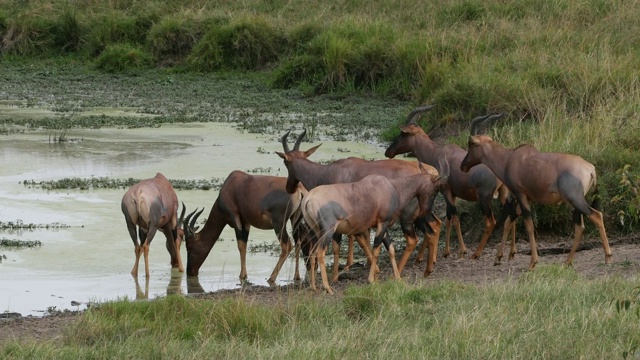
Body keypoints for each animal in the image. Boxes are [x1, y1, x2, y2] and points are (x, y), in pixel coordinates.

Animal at [278, 130, 442, 282]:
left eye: (286, 162)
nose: (289, 187)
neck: (330, 171)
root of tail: (430, 172)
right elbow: (361, 239)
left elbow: (340, 245)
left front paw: (336, 276)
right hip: (421, 214)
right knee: (433, 228)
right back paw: (428, 266)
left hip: (407, 217)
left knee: (414, 238)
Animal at [302, 163, 448, 296]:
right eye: (436, 190)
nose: (423, 213)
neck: (391, 187)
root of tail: (308, 198)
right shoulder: (382, 223)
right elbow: (376, 248)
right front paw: (371, 280)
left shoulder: (383, 225)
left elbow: (390, 249)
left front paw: (397, 278)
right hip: (328, 231)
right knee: (320, 252)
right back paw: (328, 288)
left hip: (316, 231)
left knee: (313, 252)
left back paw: (314, 287)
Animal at [384, 106, 516, 262]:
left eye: (403, 133)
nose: (388, 152)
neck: (438, 153)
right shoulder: (451, 193)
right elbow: (447, 219)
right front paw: (444, 252)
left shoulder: (446, 191)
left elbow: (454, 219)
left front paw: (462, 251)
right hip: (503, 194)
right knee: (512, 214)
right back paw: (510, 252)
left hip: (484, 198)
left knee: (491, 222)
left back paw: (476, 253)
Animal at [458, 114, 612, 268]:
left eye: (471, 143)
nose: (463, 165)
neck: (510, 158)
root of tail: (590, 168)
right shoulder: (527, 198)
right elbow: (509, 221)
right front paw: (498, 258)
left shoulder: (520, 195)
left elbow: (529, 226)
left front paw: (533, 262)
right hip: (574, 202)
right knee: (580, 226)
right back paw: (568, 261)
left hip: (576, 199)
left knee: (596, 215)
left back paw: (608, 257)